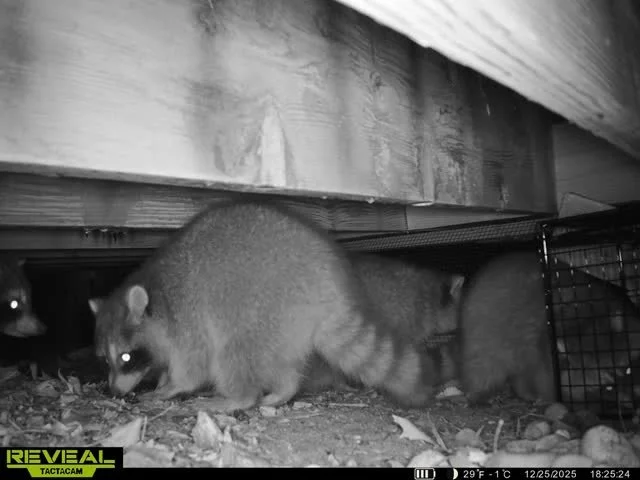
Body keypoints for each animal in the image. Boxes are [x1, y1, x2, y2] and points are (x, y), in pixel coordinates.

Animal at [89, 200, 440, 412]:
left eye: (126, 357)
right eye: (104, 360)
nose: (113, 392)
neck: (157, 293)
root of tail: (331, 289)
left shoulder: (186, 319)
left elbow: (194, 366)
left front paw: (171, 386)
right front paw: (162, 379)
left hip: (264, 308)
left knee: (231, 355)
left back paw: (237, 398)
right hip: (283, 326)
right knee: (281, 365)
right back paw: (284, 390)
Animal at [460, 251, 640, 405]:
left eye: (626, 370)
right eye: (607, 385)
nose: (630, 400)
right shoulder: (543, 352)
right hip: (485, 334)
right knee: (484, 367)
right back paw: (480, 393)